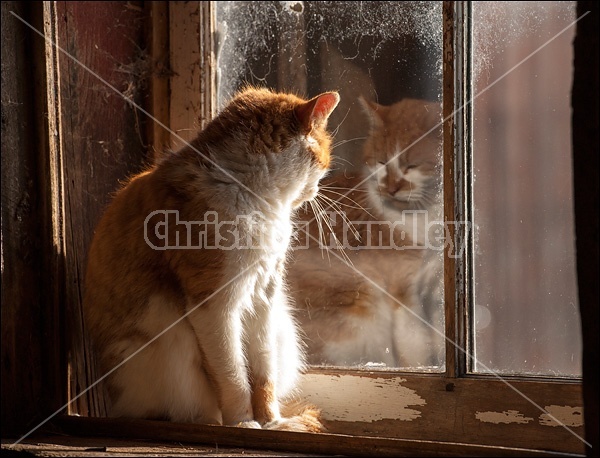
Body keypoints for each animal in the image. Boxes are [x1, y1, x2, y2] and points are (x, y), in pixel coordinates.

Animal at [82, 85, 340, 430]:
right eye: (323, 161)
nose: (316, 190)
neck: (253, 198)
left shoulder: (264, 297)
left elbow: (263, 373)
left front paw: (270, 421)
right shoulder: (215, 306)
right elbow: (233, 376)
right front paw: (244, 423)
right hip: (168, 339)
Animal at [288, 95, 442, 368]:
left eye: (411, 166)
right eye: (382, 163)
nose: (390, 189)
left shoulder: (432, 283)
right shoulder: (403, 290)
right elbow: (414, 346)